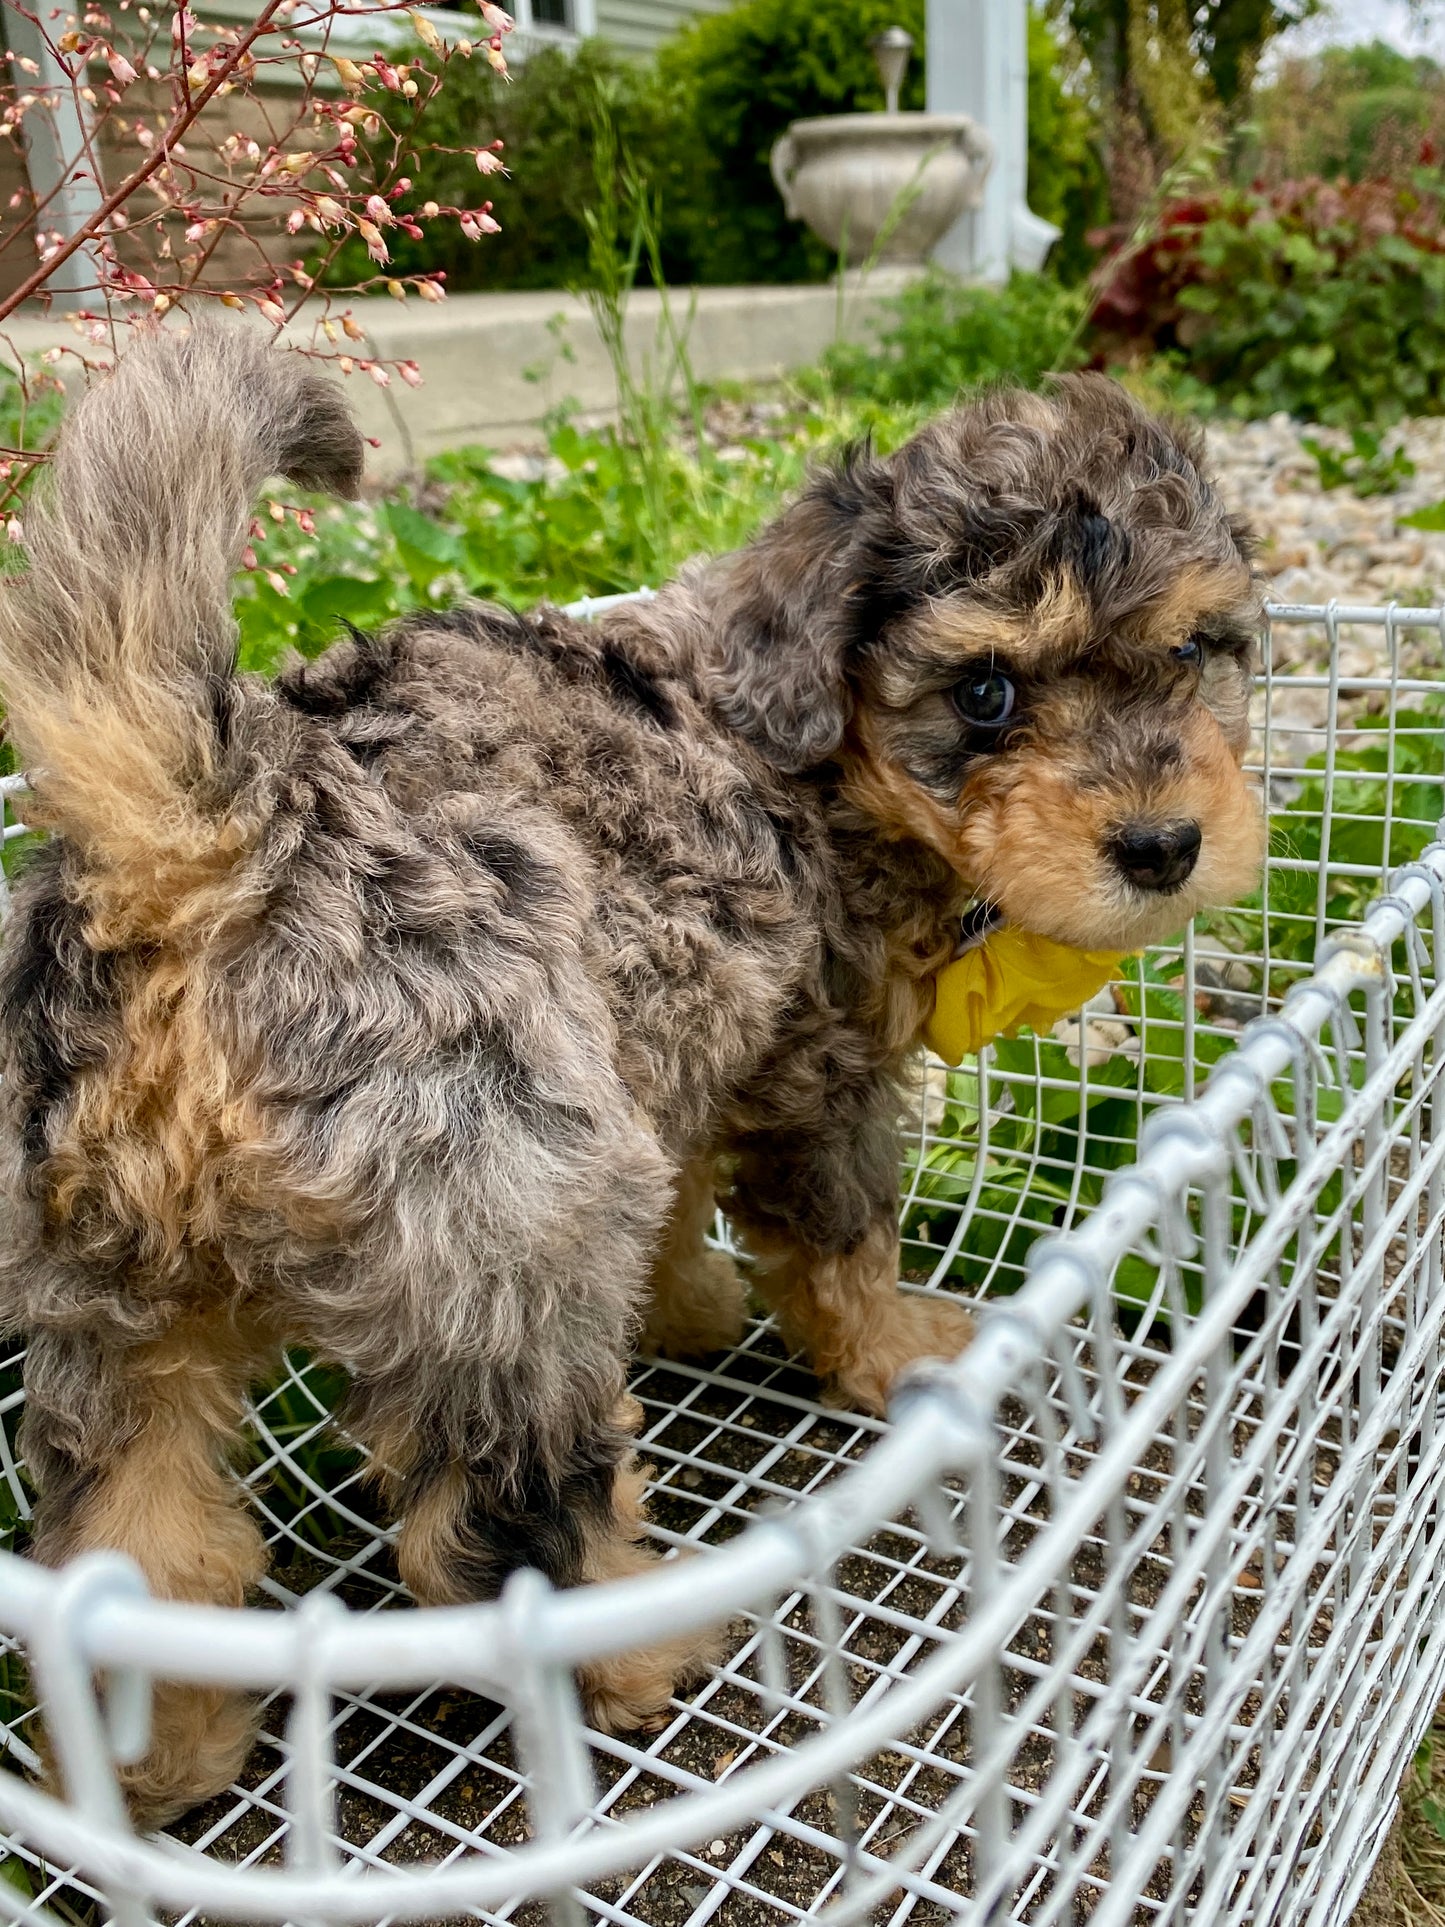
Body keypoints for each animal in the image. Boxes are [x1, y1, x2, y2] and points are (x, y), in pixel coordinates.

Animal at [0, 331, 1263, 1819]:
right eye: (986, 691)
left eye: (1191, 650)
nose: (1164, 844)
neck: (812, 757)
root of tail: (214, 829)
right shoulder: (813, 1063)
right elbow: (841, 1235)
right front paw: (894, 1347)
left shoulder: (678, 1048)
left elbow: (683, 1204)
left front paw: (693, 1303)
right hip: (519, 1213)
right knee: (487, 1529)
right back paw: (638, 1644)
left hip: (111, 1288)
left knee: (133, 1544)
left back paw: (163, 1759)